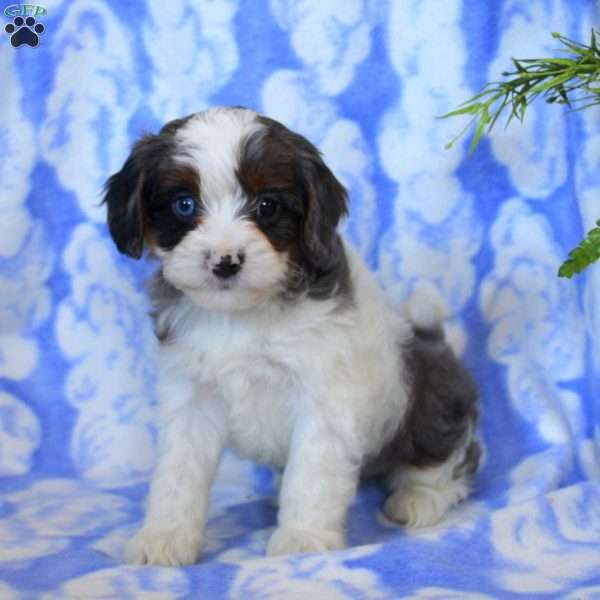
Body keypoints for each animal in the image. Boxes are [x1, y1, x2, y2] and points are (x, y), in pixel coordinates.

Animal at [102, 106, 478, 568]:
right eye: (184, 204)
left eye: (267, 206)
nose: (225, 261)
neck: (241, 316)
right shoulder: (191, 396)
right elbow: (178, 474)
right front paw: (164, 537)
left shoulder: (324, 398)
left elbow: (312, 475)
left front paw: (302, 539)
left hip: (428, 399)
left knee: (448, 458)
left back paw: (420, 497)